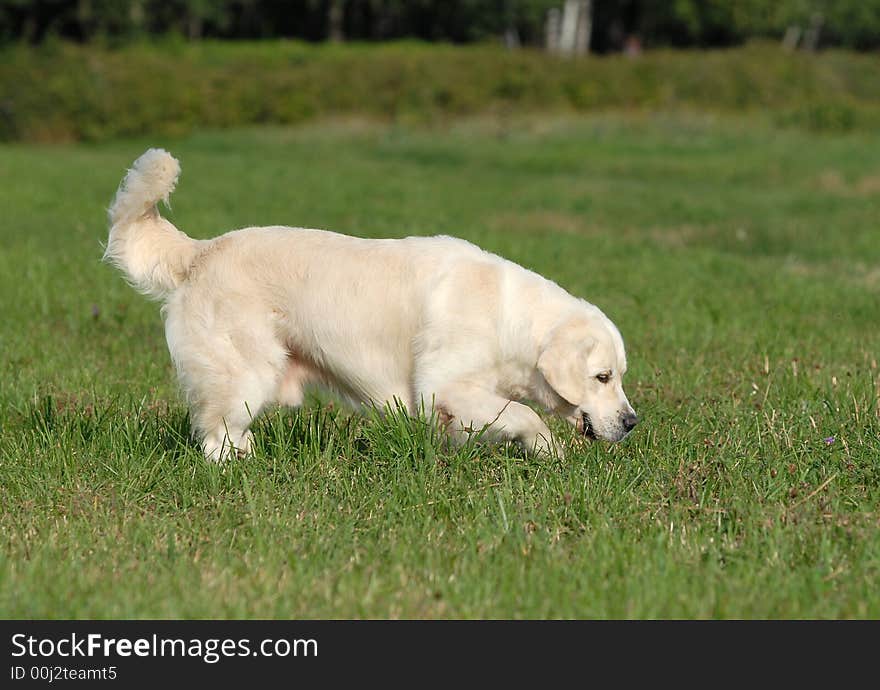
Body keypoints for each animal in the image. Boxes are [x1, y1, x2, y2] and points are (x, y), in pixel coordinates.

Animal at [105, 150, 640, 462]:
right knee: (217, 434)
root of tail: (201, 251)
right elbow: (525, 415)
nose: (632, 422)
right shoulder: (443, 385)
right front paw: (549, 452)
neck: (508, 316)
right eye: (602, 377)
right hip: (246, 373)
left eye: (617, 376)